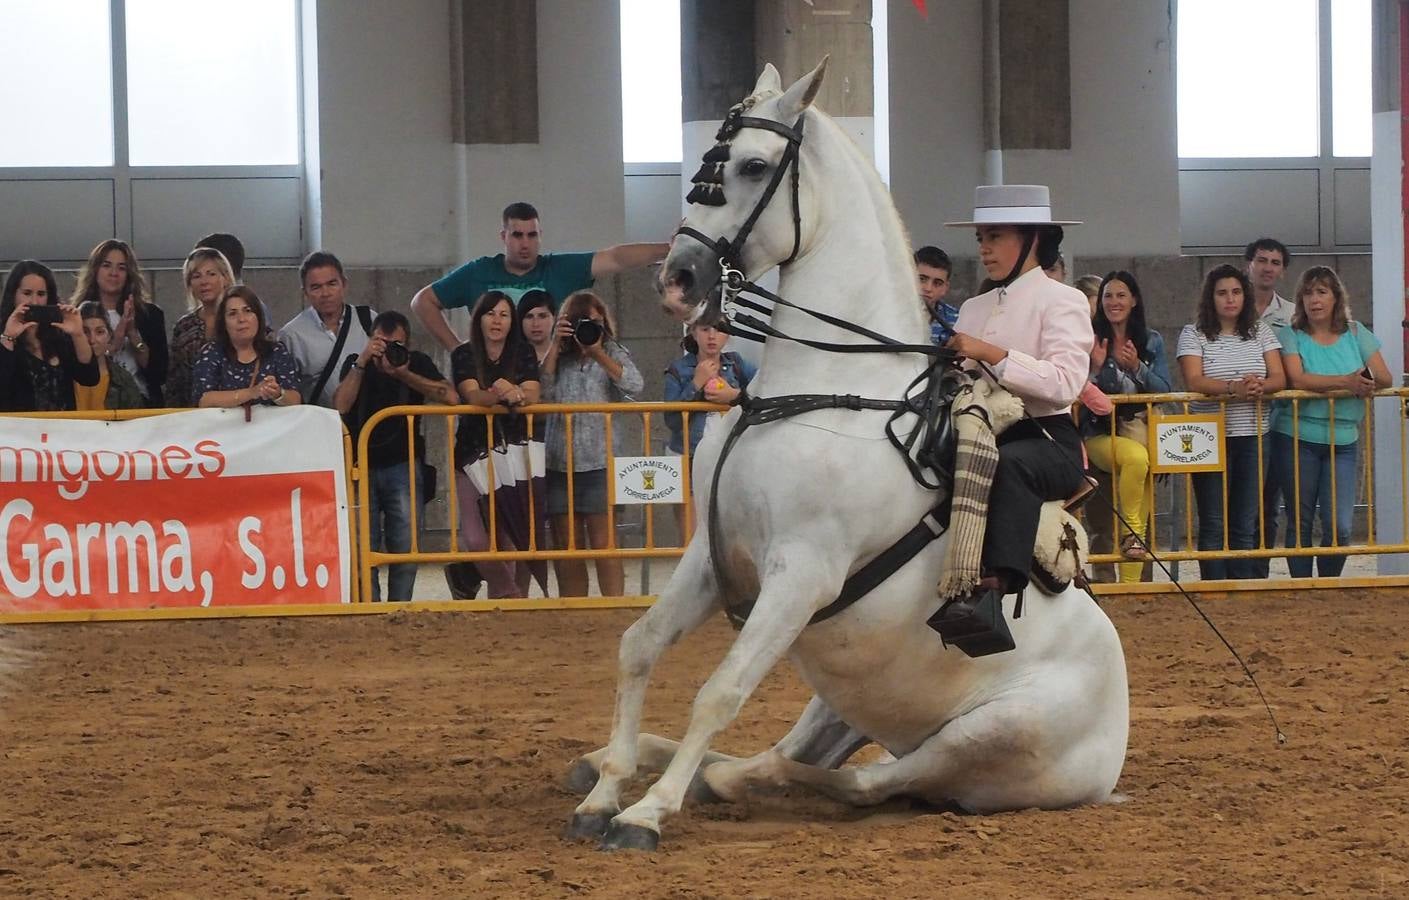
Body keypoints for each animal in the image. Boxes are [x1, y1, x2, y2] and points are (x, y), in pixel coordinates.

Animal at [566, 61, 1127, 850]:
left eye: (752, 165)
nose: (676, 278)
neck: (816, 391)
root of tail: (1114, 753)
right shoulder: (711, 555)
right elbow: (639, 646)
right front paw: (605, 792)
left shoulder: (801, 573)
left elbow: (720, 691)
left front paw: (645, 813)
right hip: (842, 704)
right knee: (794, 752)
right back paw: (632, 767)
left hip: (986, 734)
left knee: (860, 781)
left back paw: (717, 784)